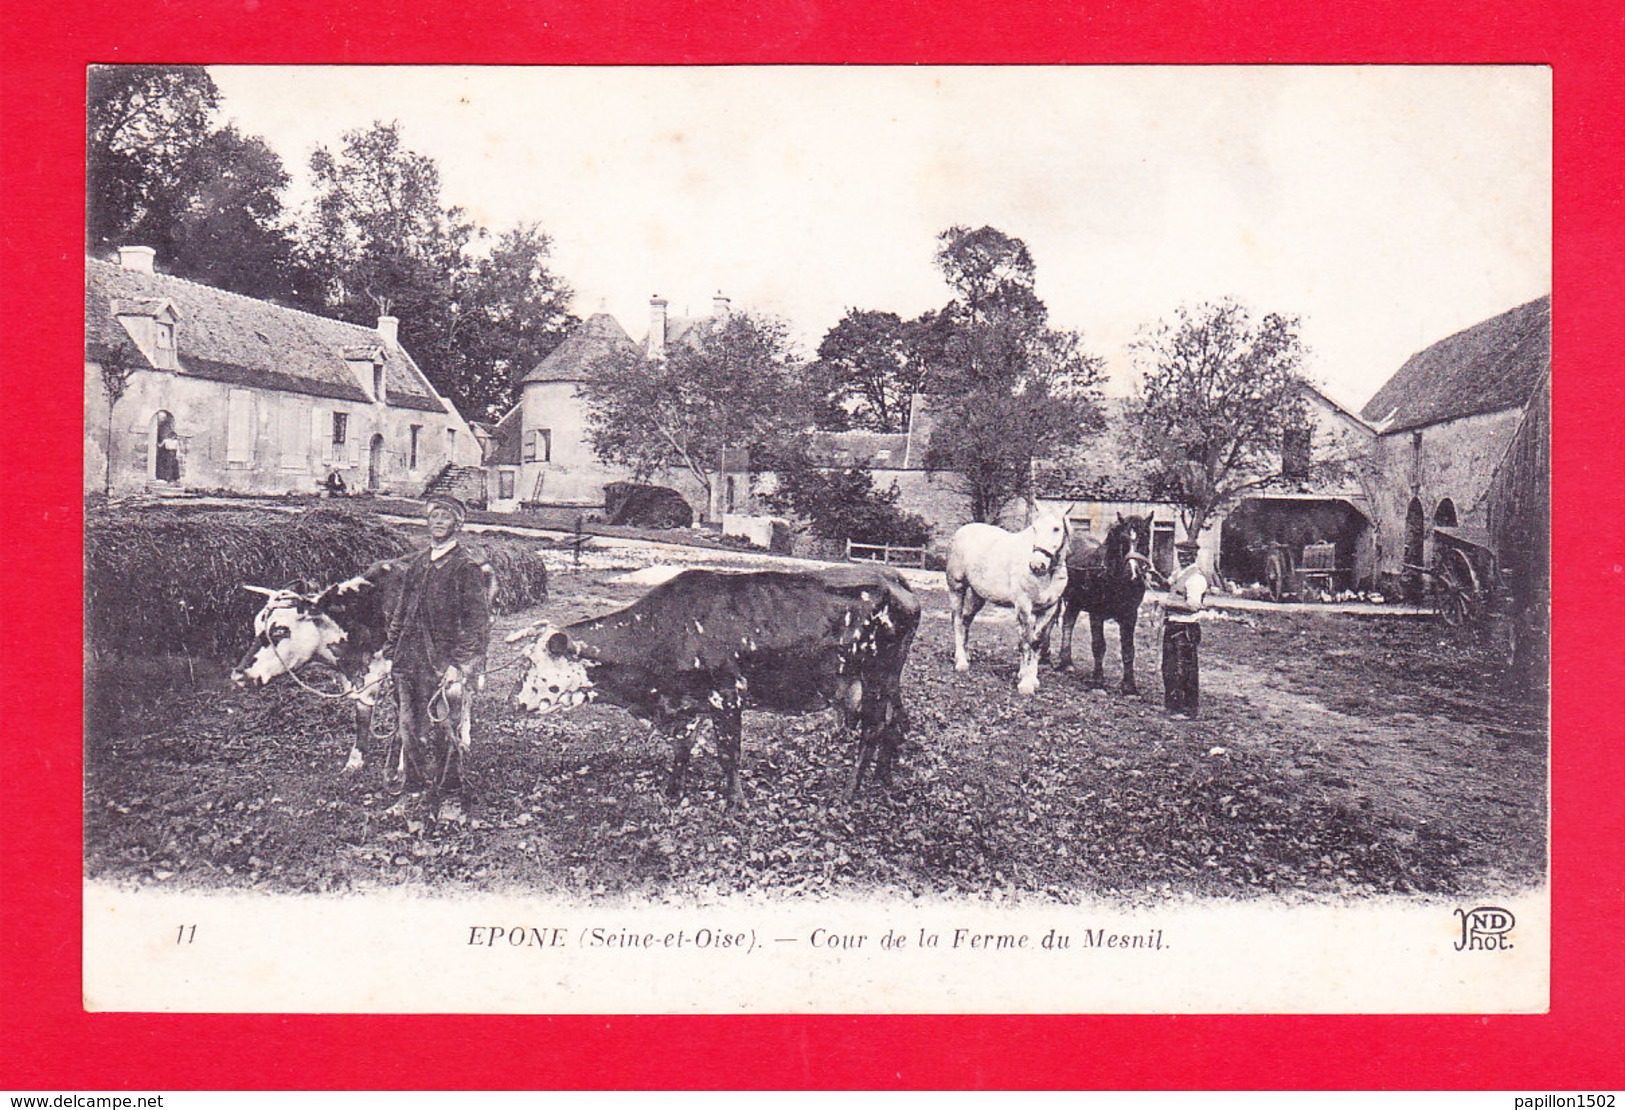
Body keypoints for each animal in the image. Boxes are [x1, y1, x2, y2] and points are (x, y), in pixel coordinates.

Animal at [507, 568, 923, 802]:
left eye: (535, 662)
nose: (517, 702)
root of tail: (891, 578)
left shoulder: (726, 696)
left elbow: (728, 754)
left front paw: (734, 804)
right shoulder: (687, 703)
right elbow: (682, 749)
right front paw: (672, 794)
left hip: (875, 676)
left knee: (874, 729)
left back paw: (849, 793)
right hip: (884, 682)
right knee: (897, 723)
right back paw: (884, 780)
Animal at [949, 503, 1072, 695]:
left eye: (1056, 528)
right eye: (1035, 528)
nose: (1037, 565)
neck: (1048, 575)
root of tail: (962, 531)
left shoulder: (1048, 610)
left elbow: (1036, 641)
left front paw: (1031, 679)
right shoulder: (1024, 607)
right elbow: (1027, 641)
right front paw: (1025, 685)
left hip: (978, 596)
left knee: (966, 620)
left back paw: (965, 655)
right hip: (957, 588)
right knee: (957, 620)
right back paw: (961, 662)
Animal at [1040, 513, 1157, 689]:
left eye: (1145, 537)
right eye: (1122, 539)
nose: (1133, 574)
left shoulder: (1130, 615)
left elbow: (1128, 649)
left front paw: (1129, 686)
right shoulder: (1096, 614)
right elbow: (1099, 645)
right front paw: (1098, 680)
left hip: (1075, 601)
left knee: (1068, 622)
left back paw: (1066, 663)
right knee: (1050, 621)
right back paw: (1045, 658)